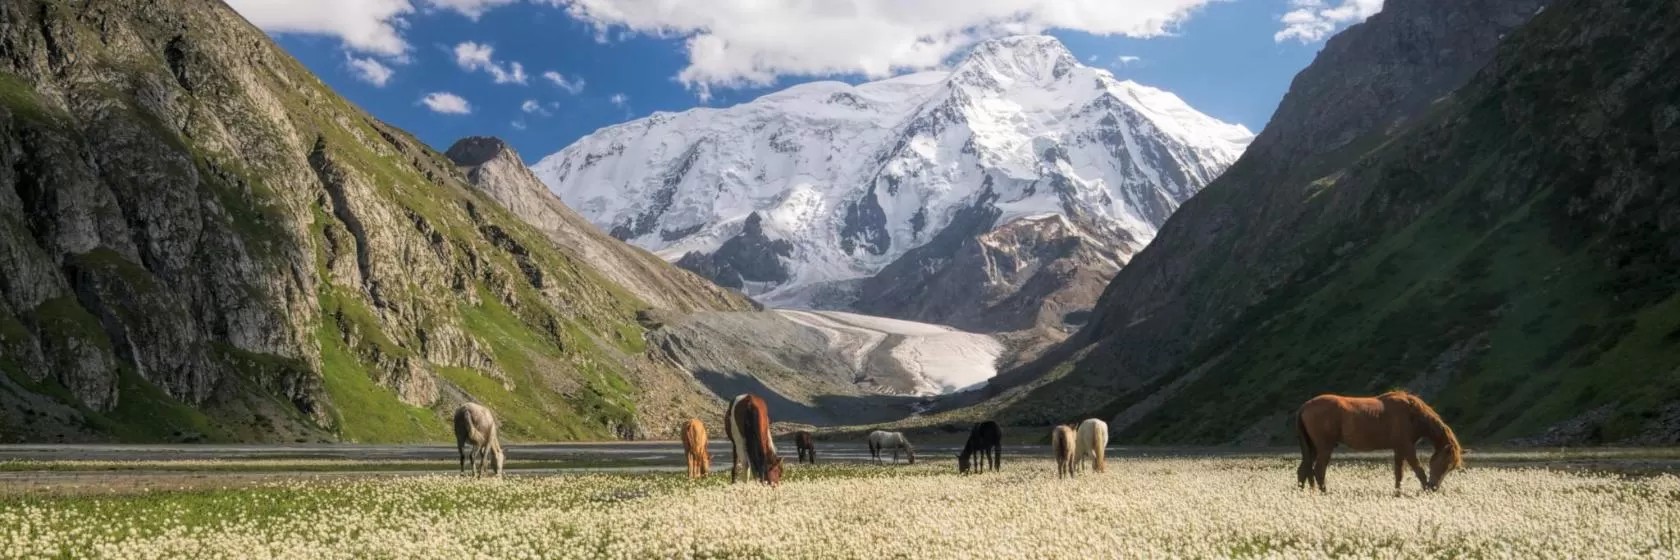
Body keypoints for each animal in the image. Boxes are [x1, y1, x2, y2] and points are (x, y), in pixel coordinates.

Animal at [1290, 390, 1464, 491]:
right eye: (1445, 463)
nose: (1434, 487)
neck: (1412, 415)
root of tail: (1304, 406)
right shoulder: (1407, 447)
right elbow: (1419, 470)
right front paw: (1424, 489)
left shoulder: (1399, 449)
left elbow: (1399, 473)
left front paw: (1397, 494)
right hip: (1324, 447)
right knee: (1318, 470)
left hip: (1312, 448)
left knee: (1303, 470)